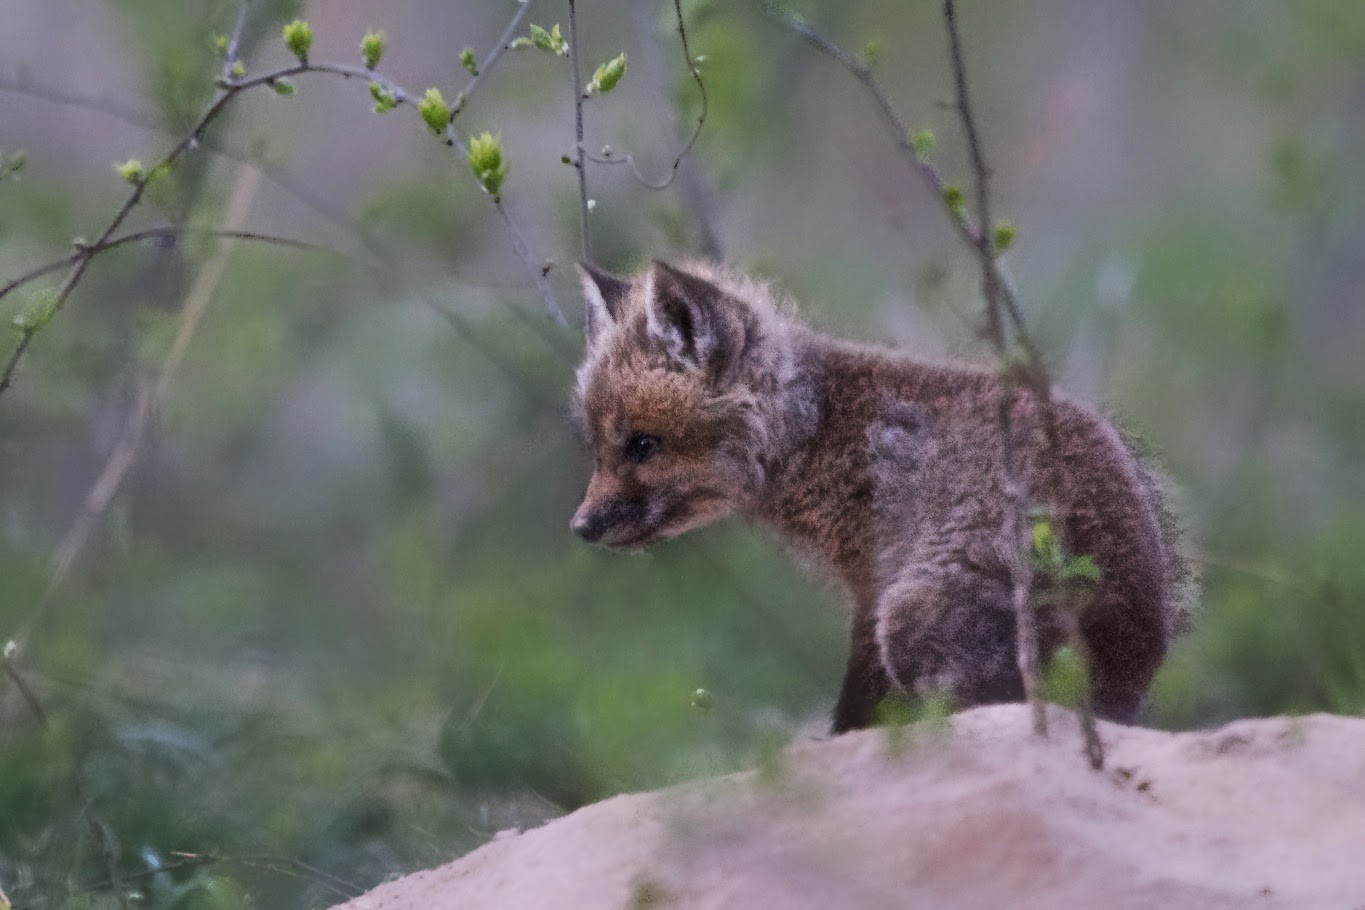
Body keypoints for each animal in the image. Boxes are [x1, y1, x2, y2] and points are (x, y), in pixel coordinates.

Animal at [570, 259, 1192, 733]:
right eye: (598, 449)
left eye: (642, 445)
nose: (581, 527)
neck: (818, 429)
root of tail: (1124, 690)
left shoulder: (874, 582)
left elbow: (858, 703)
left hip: (910, 616)